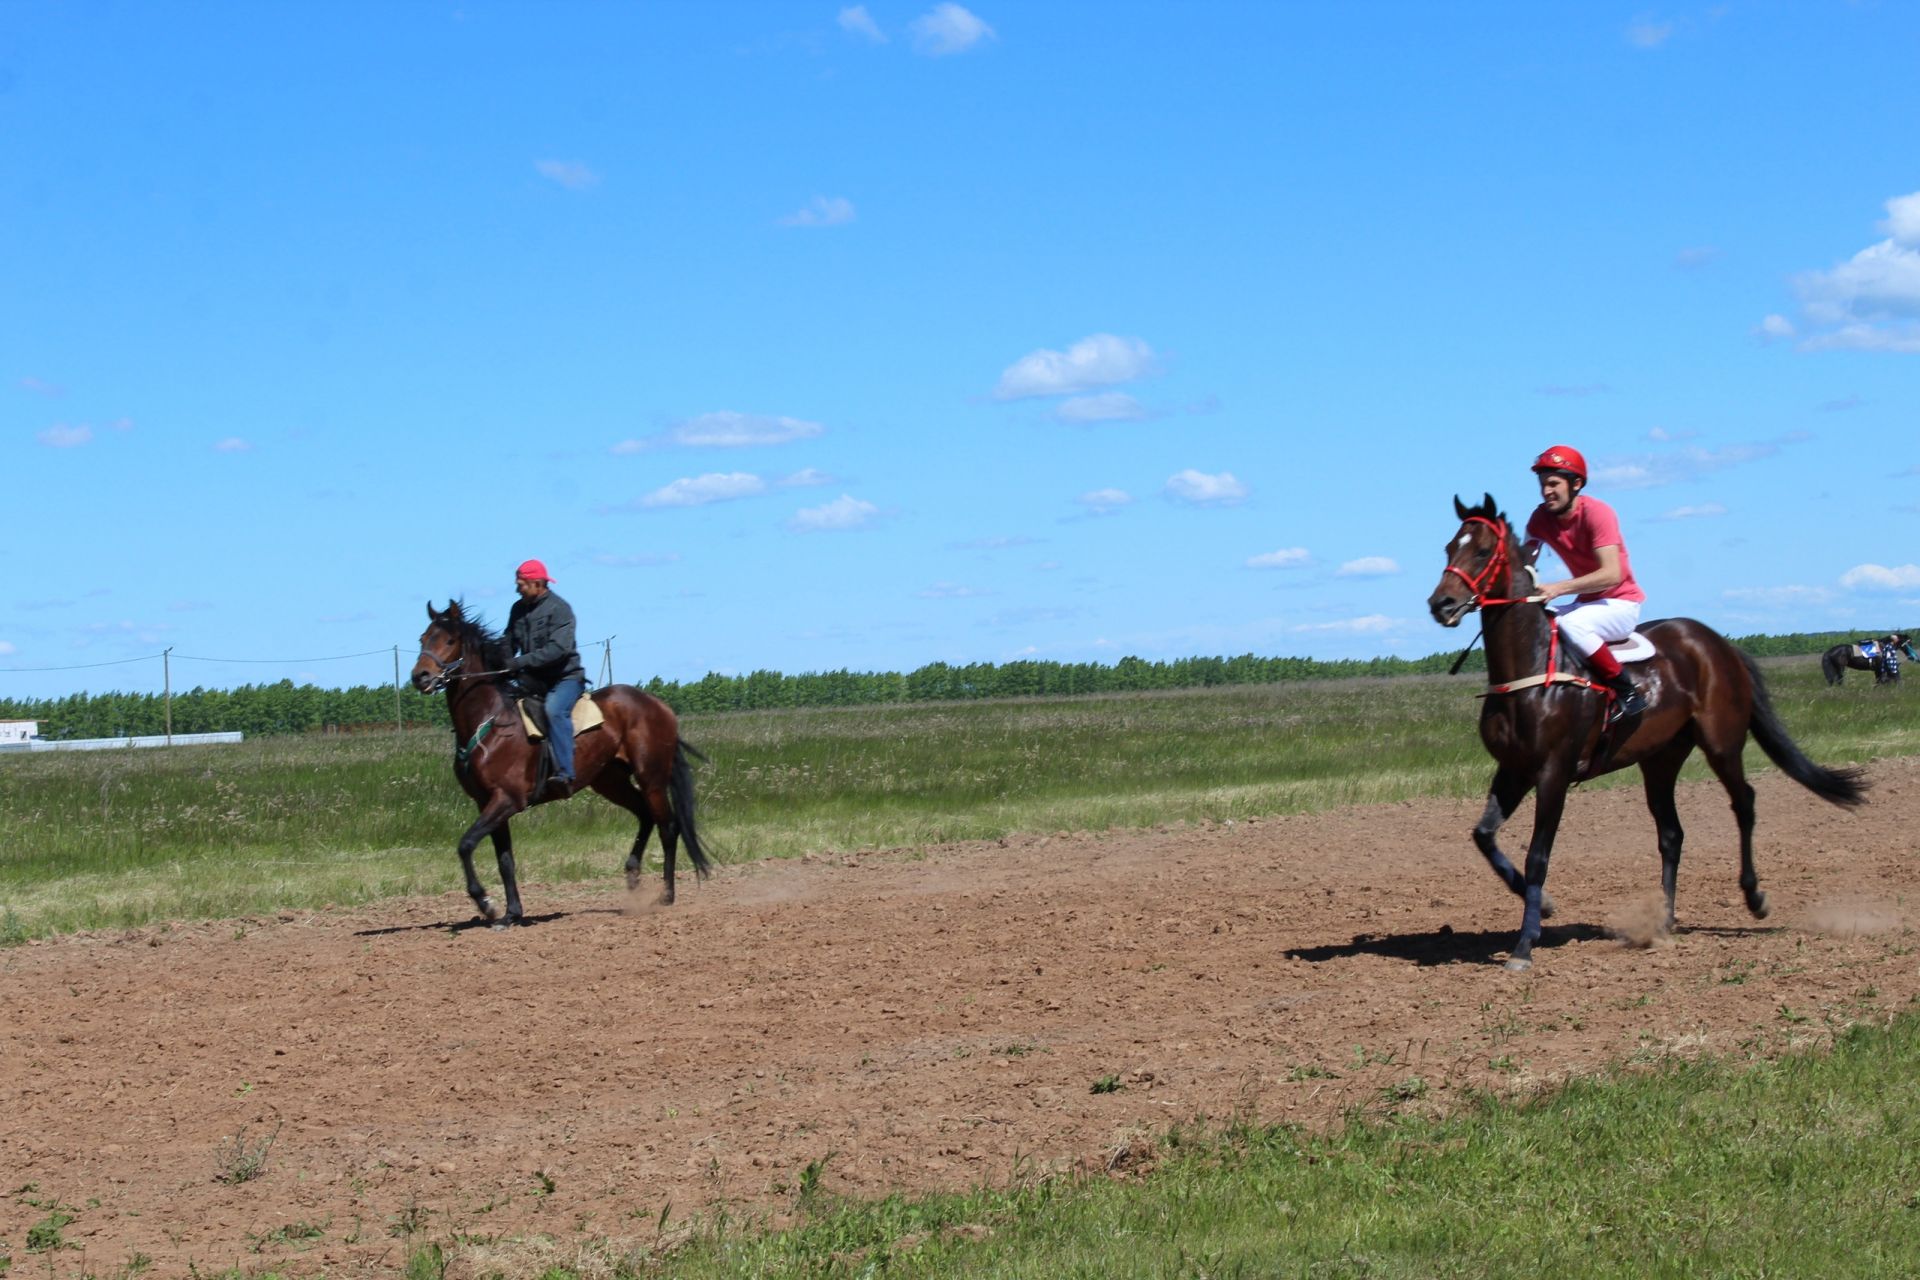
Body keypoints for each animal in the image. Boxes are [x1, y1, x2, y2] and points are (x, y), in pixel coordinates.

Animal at [408, 602, 710, 932]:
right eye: (423, 638)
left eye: (449, 640)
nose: (420, 676)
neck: (490, 722)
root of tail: (660, 706)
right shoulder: (487, 803)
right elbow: (505, 860)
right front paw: (511, 914)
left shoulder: (507, 800)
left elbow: (466, 844)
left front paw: (486, 903)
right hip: (610, 781)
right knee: (645, 815)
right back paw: (632, 876)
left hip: (651, 777)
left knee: (668, 827)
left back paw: (666, 895)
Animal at [1428, 498, 1858, 971]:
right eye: (1449, 546)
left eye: (1483, 550)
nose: (1441, 603)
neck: (1532, 669)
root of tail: (1718, 643)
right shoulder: (1513, 769)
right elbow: (1484, 836)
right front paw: (1545, 906)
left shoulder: (1553, 771)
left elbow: (1538, 856)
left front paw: (1525, 944)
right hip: (1660, 758)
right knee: (1671, 834)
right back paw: (1664, 921)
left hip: (1721, 742)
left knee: (1743, 802)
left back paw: (1754, 897)